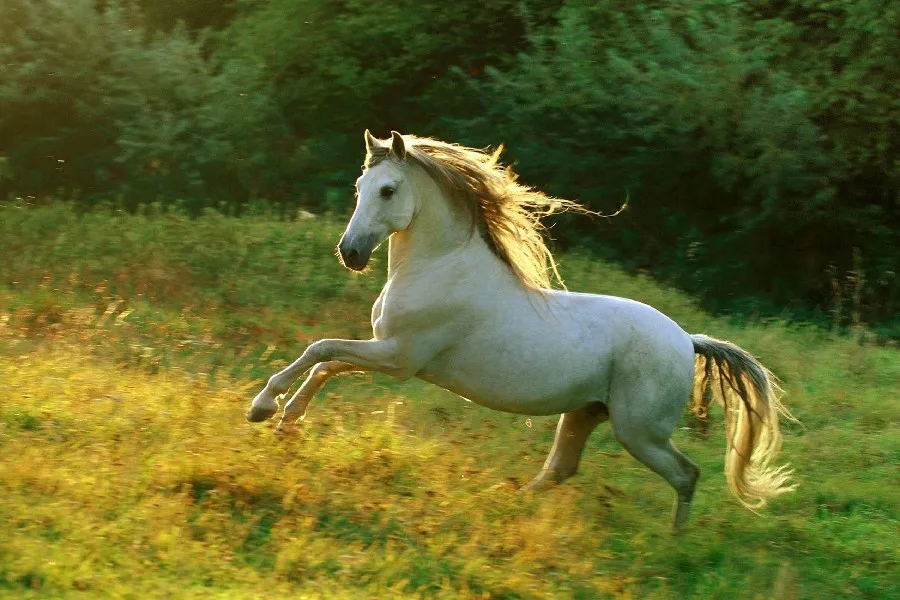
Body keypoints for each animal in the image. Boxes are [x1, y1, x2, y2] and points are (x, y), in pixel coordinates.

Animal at [247, 130, 796, 530]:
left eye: (388, 190)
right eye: (359, 189)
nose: (351, 253)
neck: (440, 267)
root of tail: (688, 340)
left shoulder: (399, 357)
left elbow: (320, 350)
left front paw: (263, 407)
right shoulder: (388, 352)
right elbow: (325, 363)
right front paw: (285, 421)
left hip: (639, 431)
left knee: (686, 474)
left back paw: (672, 541)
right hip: (586, 412)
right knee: (561, 469)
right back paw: (501, 503)